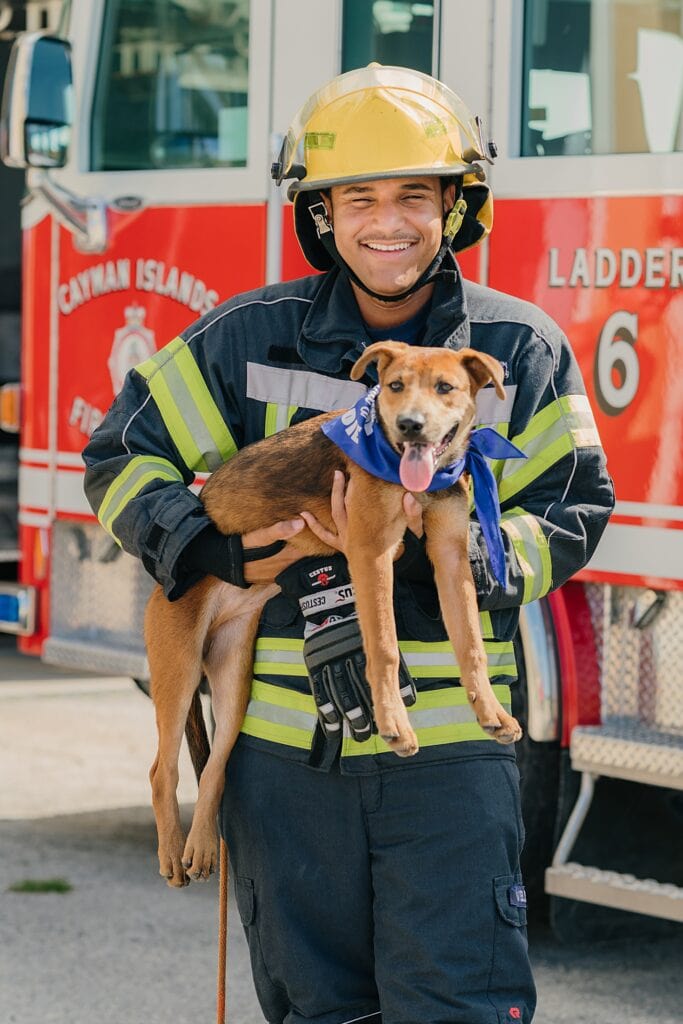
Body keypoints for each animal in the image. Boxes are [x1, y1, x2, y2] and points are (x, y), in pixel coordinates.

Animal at [145, 339, 524, 884]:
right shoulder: (370, 551)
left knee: (215, 767)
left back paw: (201, 847)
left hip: (234, 684)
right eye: (394, 386)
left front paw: (491, 713)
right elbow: (383, 647)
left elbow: (470, 644)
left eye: (445, 387)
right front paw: (394, 724)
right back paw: (173, 851)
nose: (410, 425)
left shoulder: (451, 559)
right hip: (178, 669)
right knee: (164, 769)